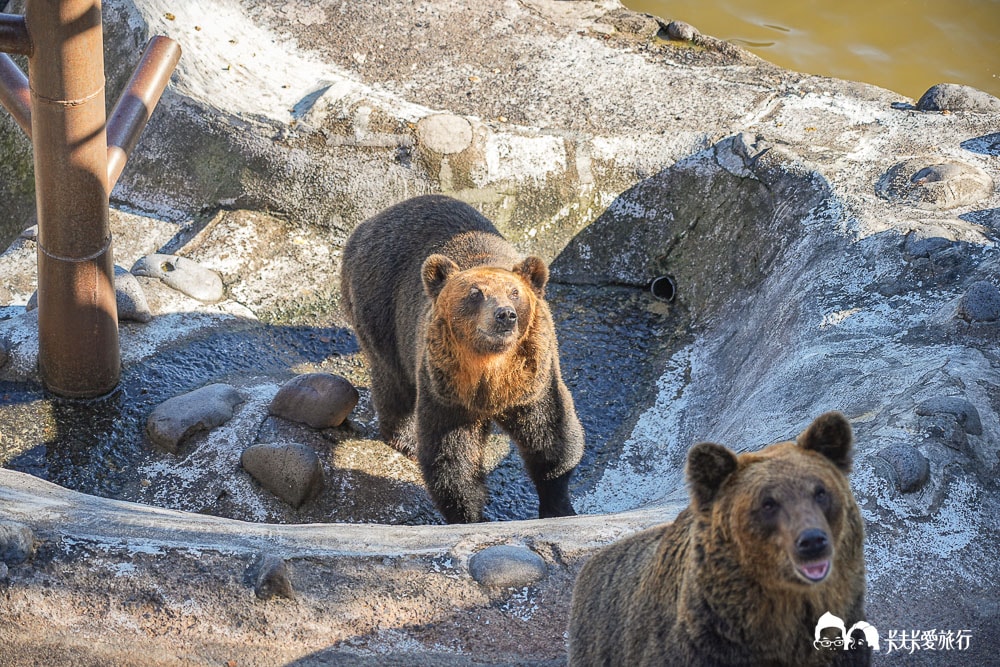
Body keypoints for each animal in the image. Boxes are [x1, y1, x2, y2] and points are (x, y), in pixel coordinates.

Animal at [340, 194, 585, 524]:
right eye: (475, 293)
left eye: (514, 291)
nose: (504, 315)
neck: (491, 369)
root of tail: (368, 224)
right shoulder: (447, 388)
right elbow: (452, 457)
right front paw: (469, 515)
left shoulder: (533, 381)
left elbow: (550, 438)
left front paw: (558, 505)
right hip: (380, 307)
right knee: (393, 381)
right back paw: (405, 438)